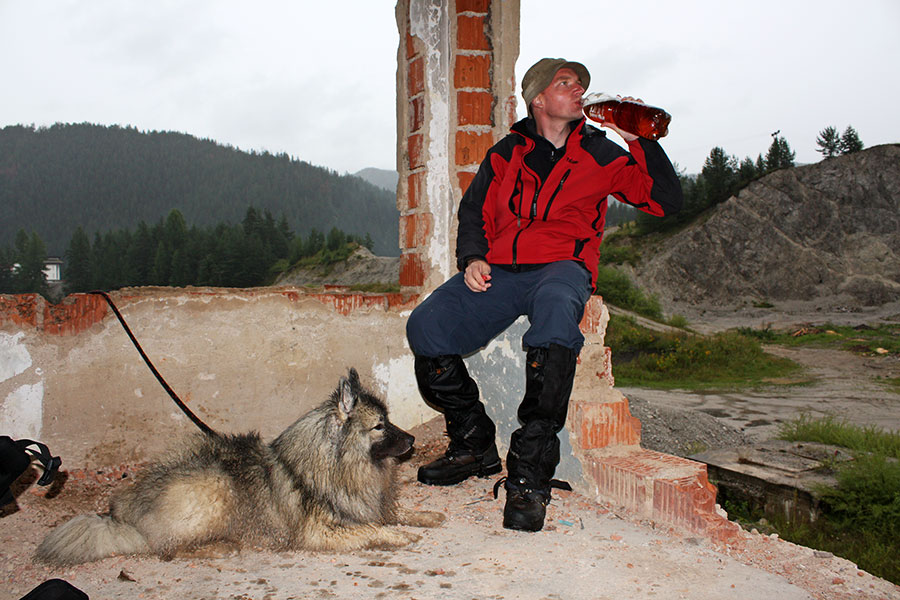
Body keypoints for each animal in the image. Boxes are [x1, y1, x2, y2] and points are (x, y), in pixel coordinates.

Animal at [35, 368, 442, 564]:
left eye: (389, 421)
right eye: (380, 426)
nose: (412, 441)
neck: (338, 463)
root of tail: (121, 513)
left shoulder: (371, 507)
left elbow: (393, 514)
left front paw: (427, 516)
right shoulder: (318, 532)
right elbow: (372, 529)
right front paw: (397, 536)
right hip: (216, 487)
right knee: (164, 549)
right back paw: (216, 548)